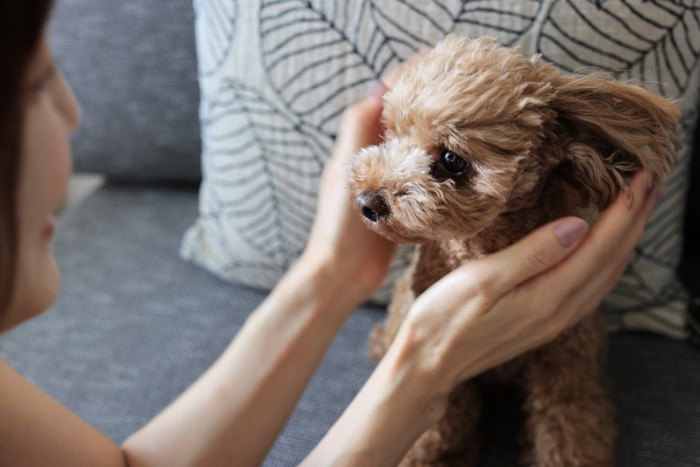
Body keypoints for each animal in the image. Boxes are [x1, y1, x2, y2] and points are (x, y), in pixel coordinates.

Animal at [350, 34, 680, 466]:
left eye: (452, 160)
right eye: (391, 135)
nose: (367, 202)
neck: (481, 247)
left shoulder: (566, 365)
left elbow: (569, 433)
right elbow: (429, 436)